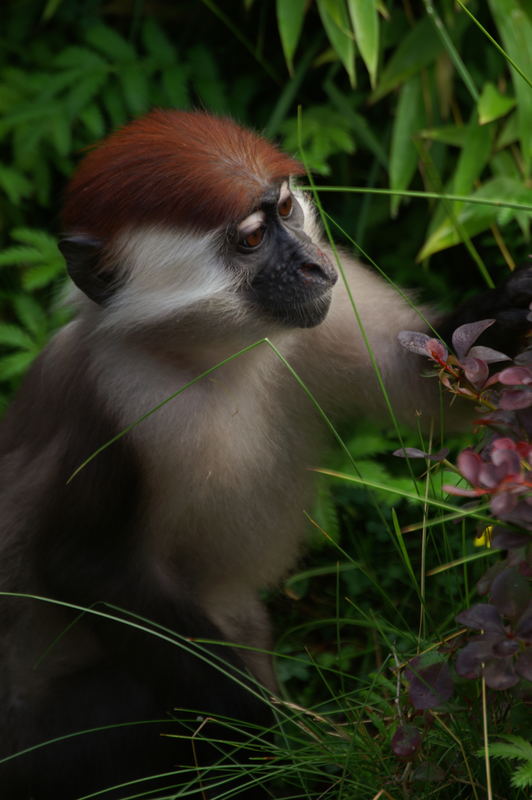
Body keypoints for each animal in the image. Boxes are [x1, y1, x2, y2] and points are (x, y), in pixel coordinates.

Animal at [1, 108, 532, 800]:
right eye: (252, 239)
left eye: (285, 209)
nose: (311, 263)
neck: (213, 358)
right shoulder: (111, 394)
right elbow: (87, 567)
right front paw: (281, 748)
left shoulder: (333, 304)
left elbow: (429, 392)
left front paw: (513, 306)